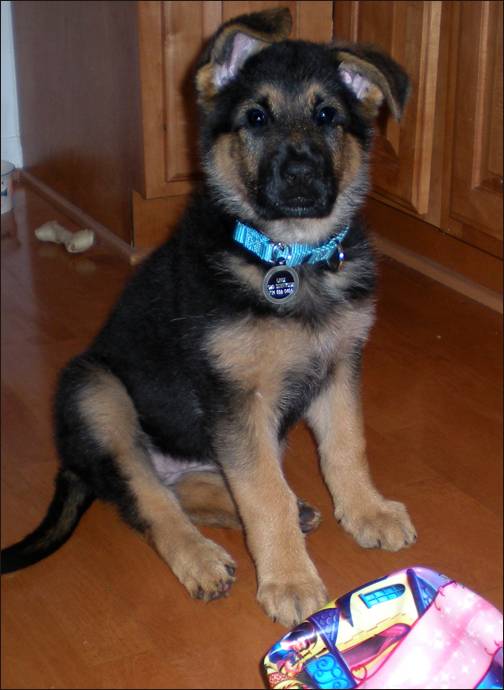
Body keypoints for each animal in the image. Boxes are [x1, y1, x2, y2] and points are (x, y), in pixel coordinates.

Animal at [0, 9, 418, 624]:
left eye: (327, 116)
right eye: (256, 117)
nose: (300, 175)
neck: (289, 258)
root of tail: (77, 465)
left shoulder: (338, 366)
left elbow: (346, 447)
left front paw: (368, 511)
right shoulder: (238, 395)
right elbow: (262, 493)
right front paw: (290, 580)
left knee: (187, 487)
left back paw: (294, 511)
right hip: (94, 390)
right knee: (148, 499)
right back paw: (200, 559)